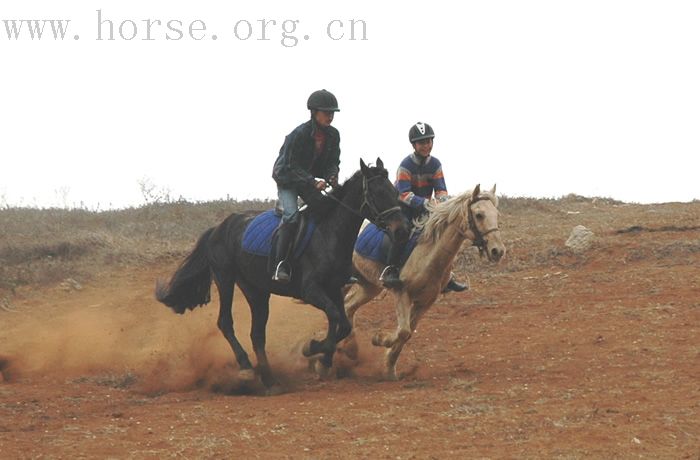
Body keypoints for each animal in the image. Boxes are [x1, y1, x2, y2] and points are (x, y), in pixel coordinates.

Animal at [153, 159, 404, 392]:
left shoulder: (333, 289)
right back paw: (246, 368)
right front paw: (313, 350)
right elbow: (335, 318)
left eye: (393, 190)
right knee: (225, 322)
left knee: (257, 334)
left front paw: (321, 359)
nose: (401, 228)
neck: (328, 234)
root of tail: (218, 228)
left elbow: (342, 324)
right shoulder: (311, 291)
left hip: (256, 291)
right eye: (378, 192)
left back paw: (270, 380)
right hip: (225, 278)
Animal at [340, 184, 504, 380]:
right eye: (479, 215)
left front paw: (389, 368)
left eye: (496, 214)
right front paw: (380, 339)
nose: (497, 251)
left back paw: (348, 348)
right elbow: (403, 331)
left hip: (369, 286)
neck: (429, 253)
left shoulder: (425, 302)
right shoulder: (402, 293)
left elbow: (407, 334)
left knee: (348, 306)